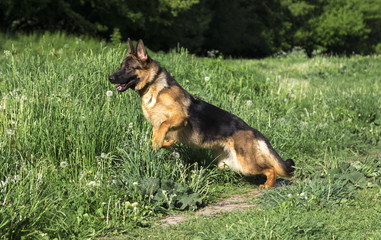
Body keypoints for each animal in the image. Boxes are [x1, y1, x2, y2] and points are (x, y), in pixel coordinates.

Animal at [107, 39, 294, 189]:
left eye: (128, 68)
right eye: (121, 66)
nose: (110, 78)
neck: (154, 86)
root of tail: (253, 131)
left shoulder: (180, 118)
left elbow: (163, 128)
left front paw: (158, 144)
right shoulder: (157, 126)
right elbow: (160, 135)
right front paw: (165, 143)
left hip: (246, 165)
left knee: (270, 169)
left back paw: (267, 185)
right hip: (230, 164)